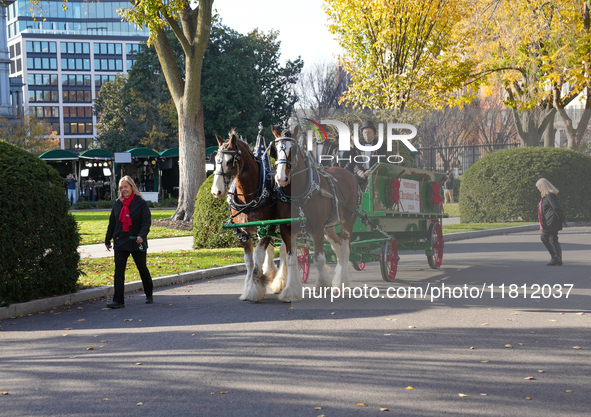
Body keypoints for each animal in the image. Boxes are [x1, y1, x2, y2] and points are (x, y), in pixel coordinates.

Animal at [214, 128, 294, 300]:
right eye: (216, 158)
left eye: (229, 161)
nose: (216, 191)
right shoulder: (242, 232)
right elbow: (249, 261)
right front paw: (249, 285)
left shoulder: (267, 227)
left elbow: (258, 256)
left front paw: (255, 288)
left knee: (284, 249)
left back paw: (281, 280)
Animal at [272, 127, 360, 290]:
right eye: (275, 150)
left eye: (293, 149)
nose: (280, 178)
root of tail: (348, 173)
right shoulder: (288, 229)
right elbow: (290, 258)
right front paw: (290, 287)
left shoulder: (317, 228)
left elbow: (319, 259)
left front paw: (323, 285)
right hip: (329, 227)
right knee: (337, 247)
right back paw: (339, 279)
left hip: (347, 221)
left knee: (345, 249)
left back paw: (343, 280)